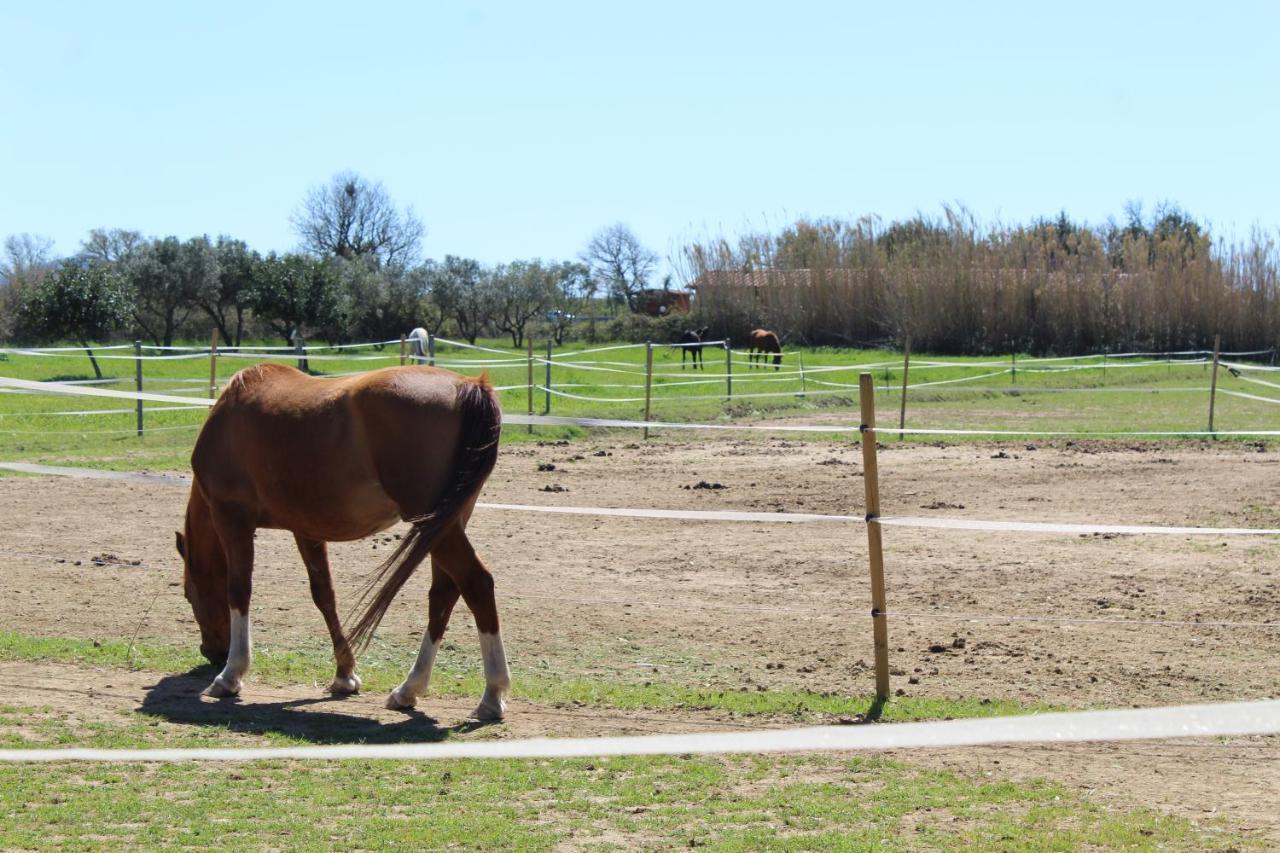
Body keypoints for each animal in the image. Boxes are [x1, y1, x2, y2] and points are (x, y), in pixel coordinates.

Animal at [174, 361, 509, 717]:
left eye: (189, 594)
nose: (211, 652)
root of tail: (470, 385)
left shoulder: (231, 518)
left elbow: (239, 590)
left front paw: (231, 675)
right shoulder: (306, 529)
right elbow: (324, 595)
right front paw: (345, 674)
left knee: (476, 583)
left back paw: (492, 694)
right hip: (443, 524)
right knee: (444, 595)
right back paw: (409, 689)